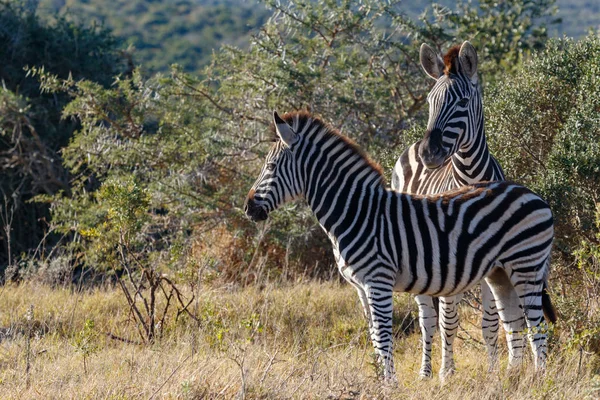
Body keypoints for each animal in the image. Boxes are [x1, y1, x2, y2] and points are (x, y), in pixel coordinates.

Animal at [246, 109, 556, 382]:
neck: (356, 212)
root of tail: (535, 196)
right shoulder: (360, 287)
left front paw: (390, 384)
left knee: (536, 324)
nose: (248, 208)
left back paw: (538, 380)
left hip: (526, 266)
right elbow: (373, 335)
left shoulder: (378, 280)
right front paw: (380, 381)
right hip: (500, 273)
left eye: (270, 167)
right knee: (514, 323)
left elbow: (384, 336)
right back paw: (512, 378)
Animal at [390, 42, 524, 380]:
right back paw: (427, 372)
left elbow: (490, 324)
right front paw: (446, 373)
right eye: (429, 101)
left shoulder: (493, 267)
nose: (430, 154)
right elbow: (447, 323)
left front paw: (493, 372)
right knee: (428, 320)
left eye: (462, 102)